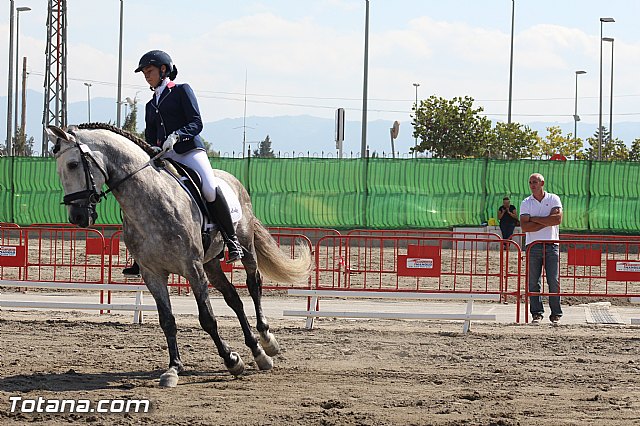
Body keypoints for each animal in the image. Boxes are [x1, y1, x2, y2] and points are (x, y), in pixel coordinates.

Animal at [45, 122, 310, 386]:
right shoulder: (153, 274)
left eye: (73, 164)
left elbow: (207, 318)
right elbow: (167, 320)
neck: (150, 202)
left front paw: (232, 360)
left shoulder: (192, 268)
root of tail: (233, 180)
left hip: (244, 247)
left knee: (254, 285)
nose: (78, 217)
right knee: (233, 298)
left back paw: (267, 342)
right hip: (211, 263)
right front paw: (174, 368)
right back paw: (257, 350)